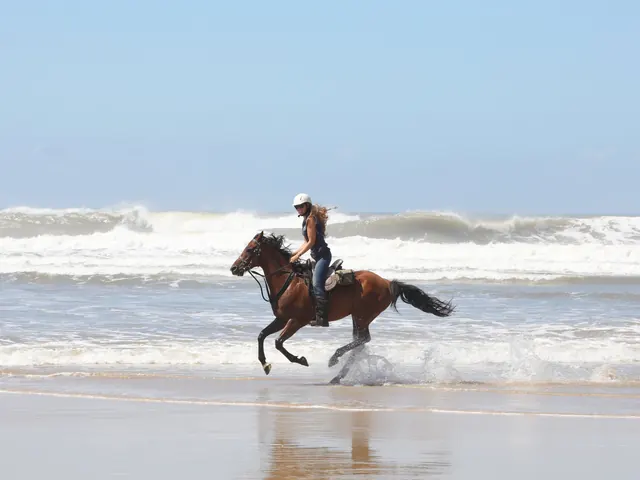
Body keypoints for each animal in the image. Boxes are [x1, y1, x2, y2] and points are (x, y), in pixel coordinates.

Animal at [230, 231, 456, 384]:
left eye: (249, 249)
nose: (234, 268)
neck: (289, 281)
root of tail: (387, 282)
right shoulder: (282, 319)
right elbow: (261, 335)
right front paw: (265, 364)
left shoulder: (296, 321)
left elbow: (278, 342)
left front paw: (300, 360)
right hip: (358, 317)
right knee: (360, 343)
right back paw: (337, 376)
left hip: (362, 316)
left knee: (362, 341)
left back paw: (334, 359)